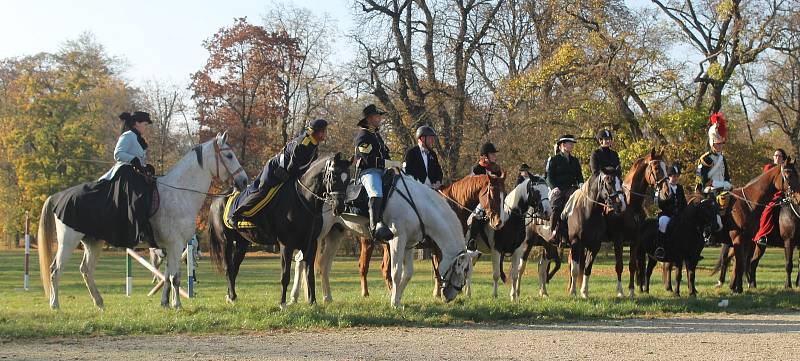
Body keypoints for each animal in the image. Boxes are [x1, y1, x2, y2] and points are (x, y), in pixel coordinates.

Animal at [37, 134, 248, 308]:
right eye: (229, 156)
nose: (244, 181)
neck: (180, 193)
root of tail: (59, 196)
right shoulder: (174, 244)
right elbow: (175, 277)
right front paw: (177, 304)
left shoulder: (173, 247)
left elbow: (168, 276)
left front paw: (165, 303)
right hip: (67, 241)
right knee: (55, 270)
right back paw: (55, 305)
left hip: (93, 243)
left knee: (86, 270)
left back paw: (99, 303)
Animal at [208, 152, 352, 306]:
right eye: (334, 176)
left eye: (348, 179)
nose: (339, 207)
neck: (303, 200)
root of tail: (218, 198)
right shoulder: (286, 245)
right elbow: (285, 275)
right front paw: (283, 303)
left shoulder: (311, 245)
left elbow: (309, 274)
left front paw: (313, 302)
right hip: (226, 241)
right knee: (228, 268)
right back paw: (231, 296)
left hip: (242, 243)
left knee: (234, 268)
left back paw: (232, 296)